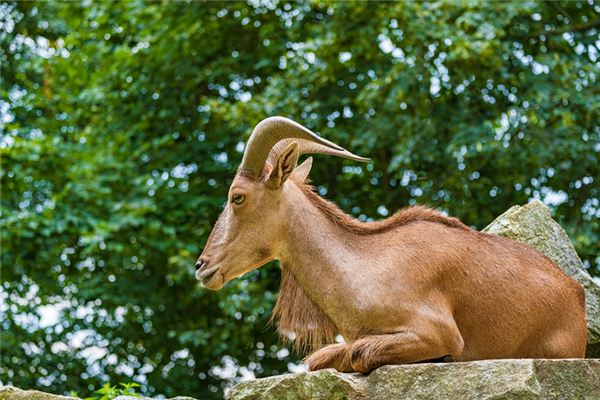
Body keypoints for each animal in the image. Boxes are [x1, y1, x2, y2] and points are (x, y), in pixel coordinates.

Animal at [196, 117, 584, 374]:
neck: (362, 269)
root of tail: (575, 295)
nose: (202, 266)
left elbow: (351, 354)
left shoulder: (437, 332)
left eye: (237, 197)